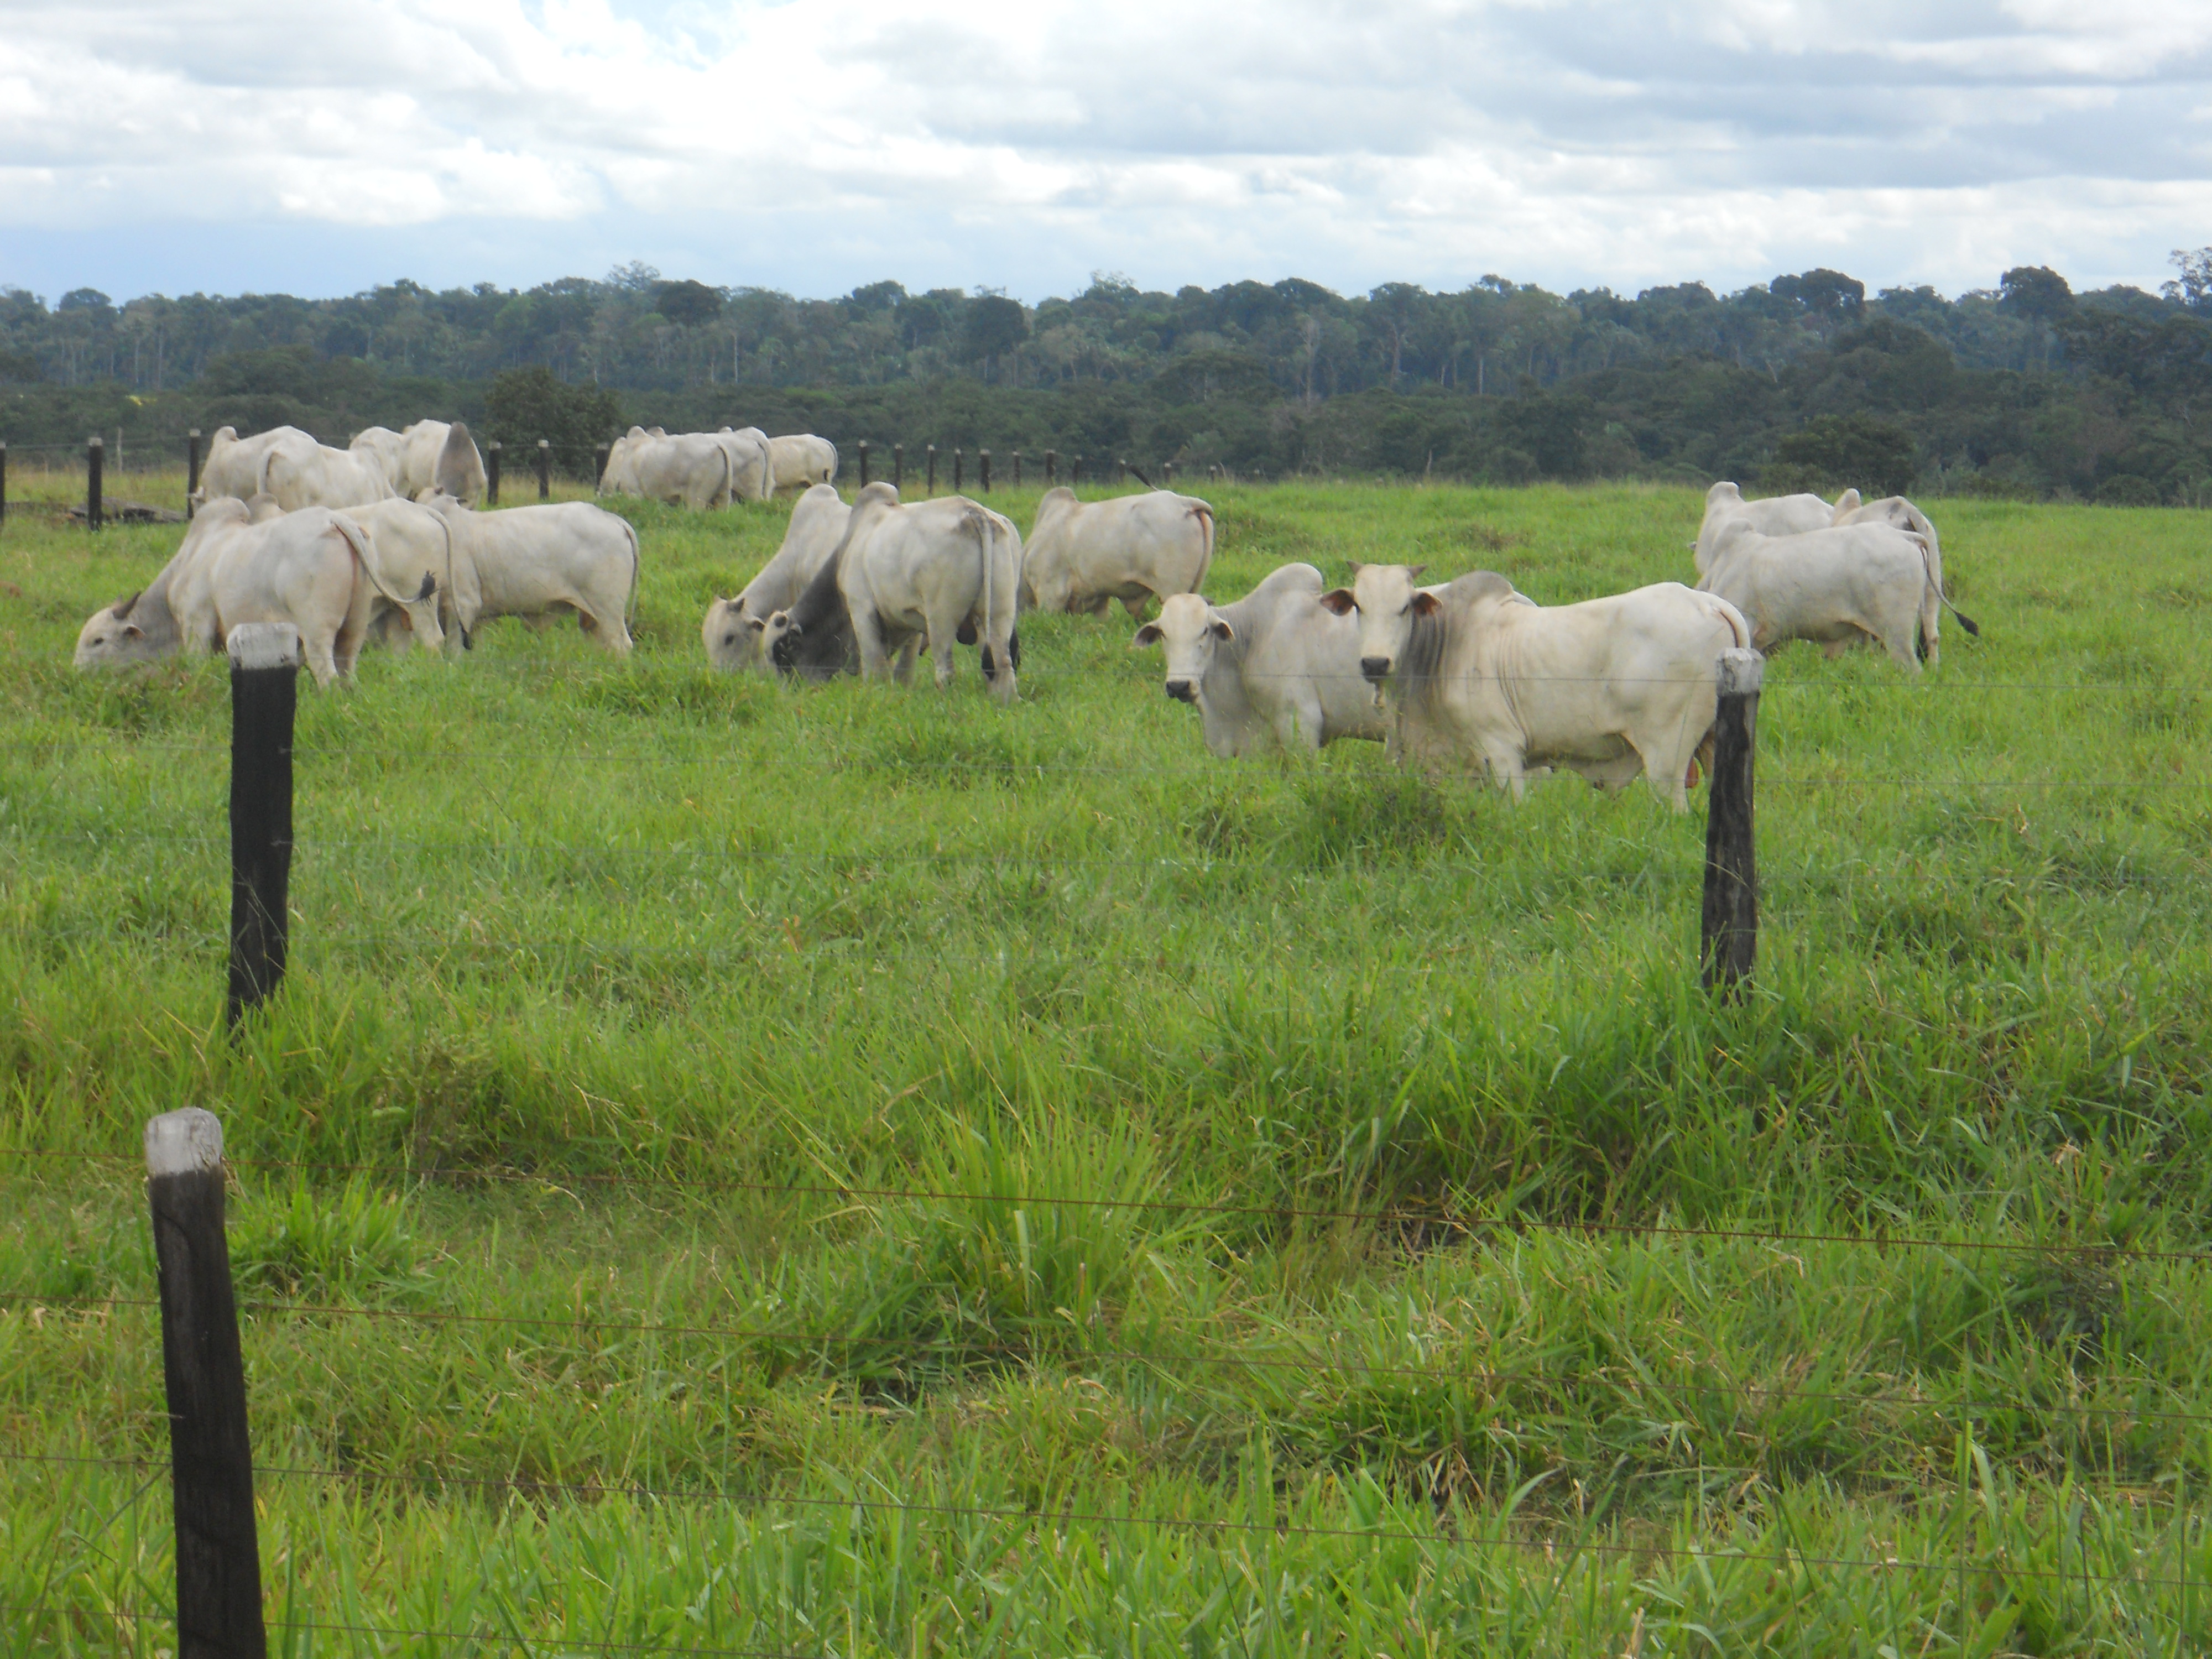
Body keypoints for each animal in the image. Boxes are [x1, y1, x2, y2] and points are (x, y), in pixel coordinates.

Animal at [75, 500, 427, 687]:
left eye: (98, 640)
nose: (76, 673)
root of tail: (336, 519)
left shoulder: (197, 624)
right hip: (353, 627)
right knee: (347, 673)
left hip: (318, 631)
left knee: (327, 675)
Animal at [419, 493, 640, 654]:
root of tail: (615, 521)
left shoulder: (461, 605)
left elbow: (455, 648)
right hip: (593, 616)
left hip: (608, 608)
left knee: (619, 643)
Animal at [769, 483, 1019, 702]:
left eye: (782, 654)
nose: (788, 693)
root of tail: (973, 513)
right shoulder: (911, 618)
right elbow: (903, 670)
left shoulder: (861, 609)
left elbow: (875, 669)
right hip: (999, 611)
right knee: (1002, 663)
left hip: (941, 617)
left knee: (946, 671)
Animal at [1320, 564, 1750, 811]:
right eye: (1358, 606)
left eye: (1405, 607)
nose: (1375, 663)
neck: (1444, 644)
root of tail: (1708, 602)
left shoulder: (1500, 747)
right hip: (1713, 745)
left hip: (1668, 757)